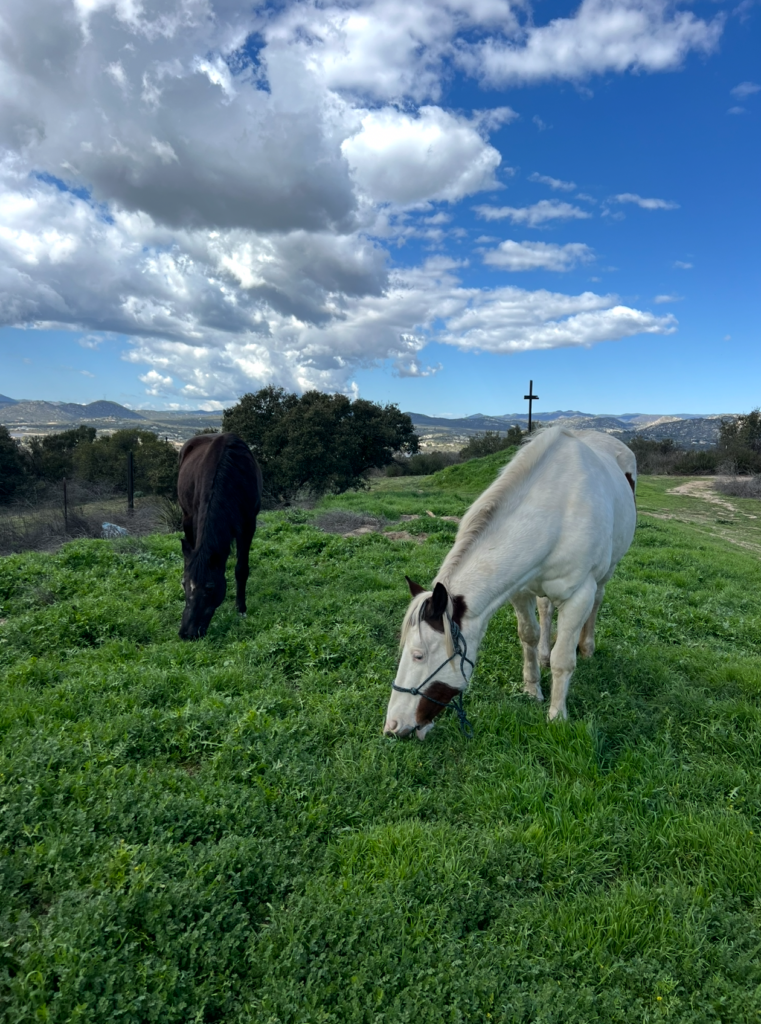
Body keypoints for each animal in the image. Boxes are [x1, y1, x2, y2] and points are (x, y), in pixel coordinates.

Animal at [177, 432, 263, 640]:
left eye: (209, 587)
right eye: (184, 584)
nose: (186, 633)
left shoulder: (248, 524)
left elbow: (241, 569)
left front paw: (241, 609)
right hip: (187, 517)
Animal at [384, 428, 637, 739]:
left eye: (419, 655)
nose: (393, 726)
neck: (553, 514)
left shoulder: (579, 596)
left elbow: (563, 659)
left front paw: (557, 715)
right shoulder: (520, 590)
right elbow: (529, 635)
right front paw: (532, 689)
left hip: (605, 573)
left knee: (597, 602)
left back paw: (587, 646)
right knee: (545, 610)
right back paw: (544, 654)